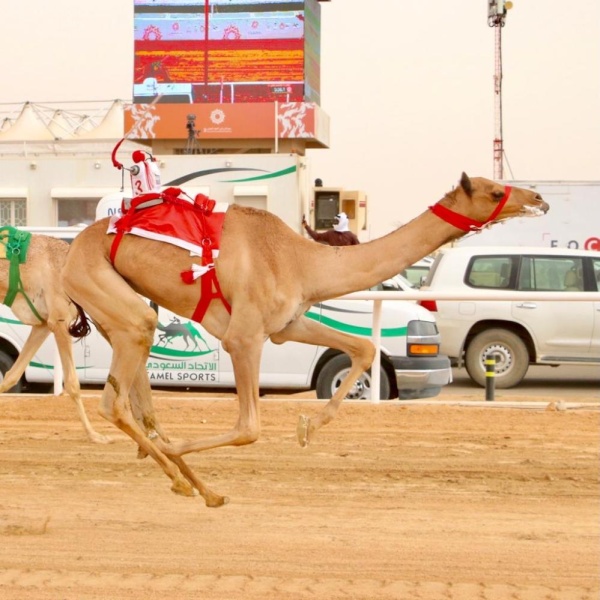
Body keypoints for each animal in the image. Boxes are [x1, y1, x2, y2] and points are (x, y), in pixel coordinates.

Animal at [62, 173, 548, 506]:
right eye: (493, 191)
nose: (538, 198)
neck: (301, 260)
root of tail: (72, 247)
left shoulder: (287, 325)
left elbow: (364, 347)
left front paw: (308, 426)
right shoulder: (244, 336)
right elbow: (249, 427)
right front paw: (176, 450)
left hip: (117, 313)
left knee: (140, 402)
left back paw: (200, 486)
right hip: (112, 296)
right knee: (117, 399)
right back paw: (180, 473)